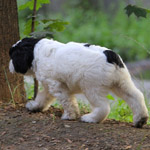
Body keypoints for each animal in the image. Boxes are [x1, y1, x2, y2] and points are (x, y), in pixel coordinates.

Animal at [9, 37, 149, 127]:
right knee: (136, 96)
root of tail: (111, 55)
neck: (36, 51)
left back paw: (91, 118)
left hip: (92, 87)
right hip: (121, 82)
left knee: (103, 107)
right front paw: (34, 106)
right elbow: (43, 97)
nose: (9, 65)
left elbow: (67, 101)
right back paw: (140, 119)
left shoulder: (57, 85)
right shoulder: (50, 85)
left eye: (12, 56)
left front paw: (70, 115)